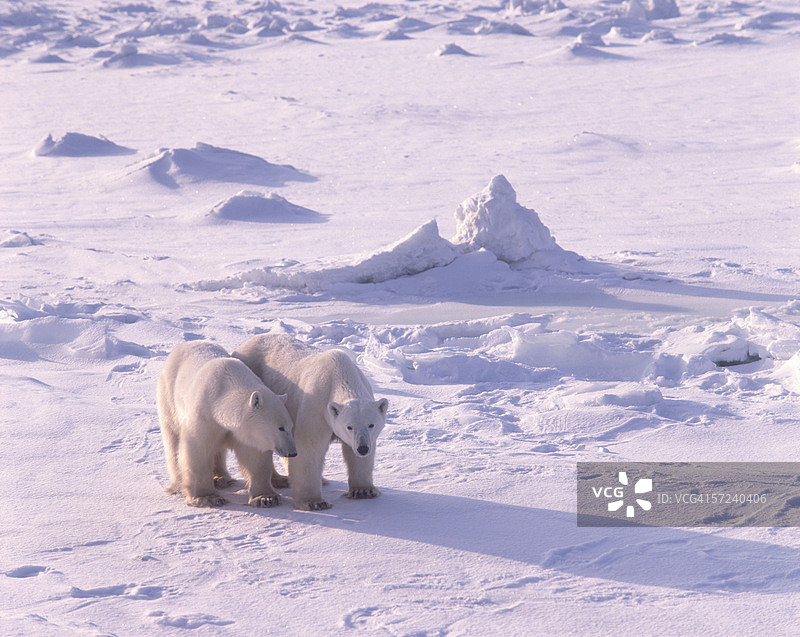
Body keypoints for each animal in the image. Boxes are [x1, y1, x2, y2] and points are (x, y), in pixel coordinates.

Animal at [157, 340, 297, 508]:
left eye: (291, 426)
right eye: (280, 428)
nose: (292, 453)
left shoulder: (244, 432)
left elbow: (255, 456)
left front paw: (266, 497)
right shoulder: (204, 414)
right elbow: (198, 449)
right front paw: (207, 497)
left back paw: (222, 478)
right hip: (169, 396)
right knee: (173, 439)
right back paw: (179, 484)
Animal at [233, 334, 389, 511]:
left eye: (371, 425)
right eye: (349, 427)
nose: (362, 448)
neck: (340, 374)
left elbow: (355, 454)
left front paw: (363, 490)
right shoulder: (316, 404)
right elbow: (309, 447)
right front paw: (314, 502)